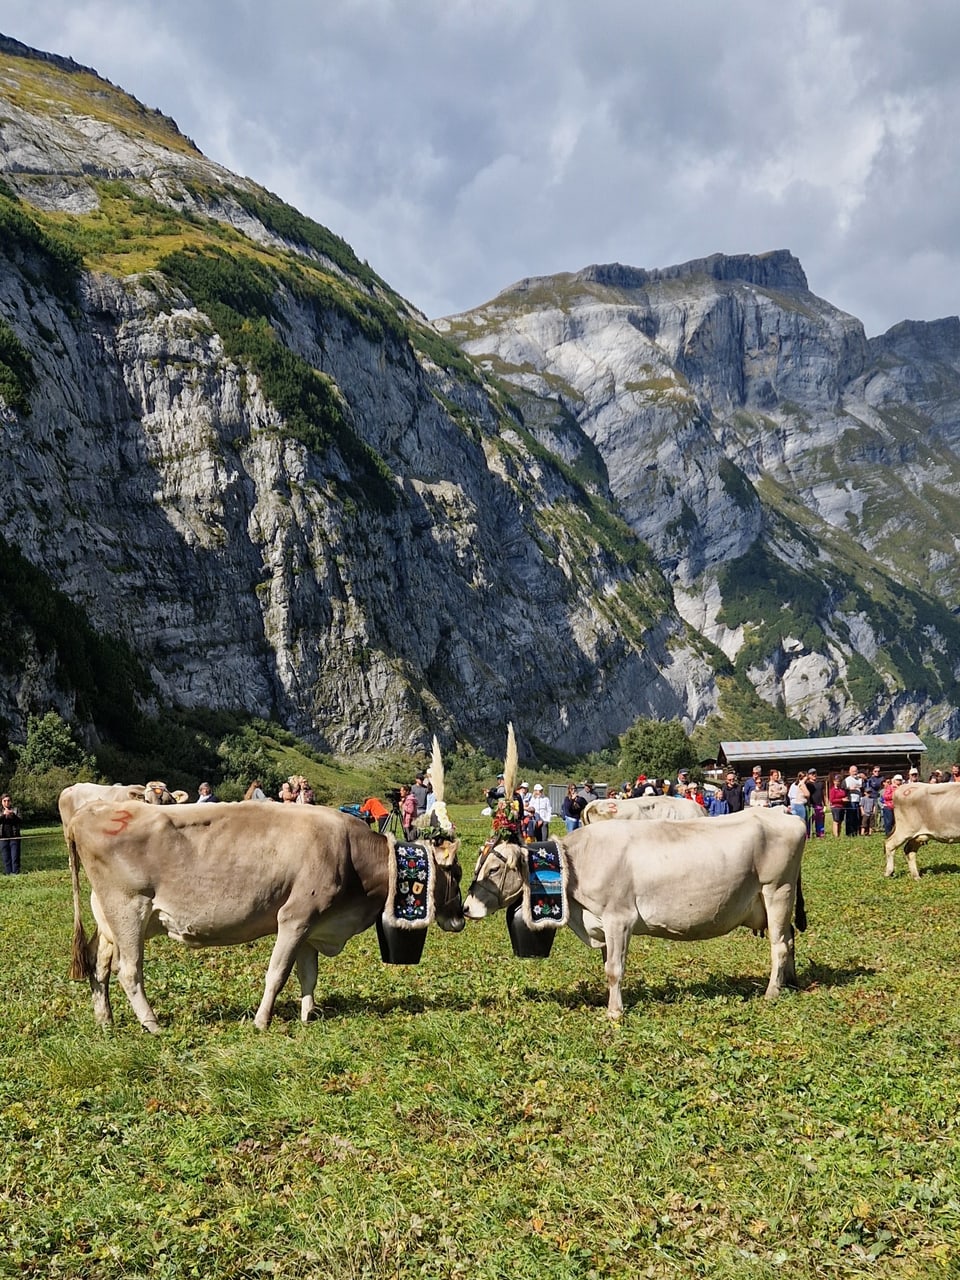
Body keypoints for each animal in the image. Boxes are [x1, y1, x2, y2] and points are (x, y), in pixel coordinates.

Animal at [67, 798, 465, 1029]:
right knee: (128, 971)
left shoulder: (312, 924)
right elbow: (277, 974)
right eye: (457, 874)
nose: (461, 917)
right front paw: (261, 1021)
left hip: (107, 918)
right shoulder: (295, 917)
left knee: (99, 967)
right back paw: (151, 1024)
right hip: (128, 908)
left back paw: (105, 1022)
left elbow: (308, 975)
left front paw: (308, 1015)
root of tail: (85, 814)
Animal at [463, 808, 808, 1018]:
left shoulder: (619, 918)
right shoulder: (603, 924)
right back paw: (790, 982)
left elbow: (614, 969)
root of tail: (784, 814)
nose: (466, 908)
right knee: (789, 938)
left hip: (777, 889)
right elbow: (608, 967)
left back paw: (772, 992)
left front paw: (614, 1012)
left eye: (494, 869)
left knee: (779, 945)